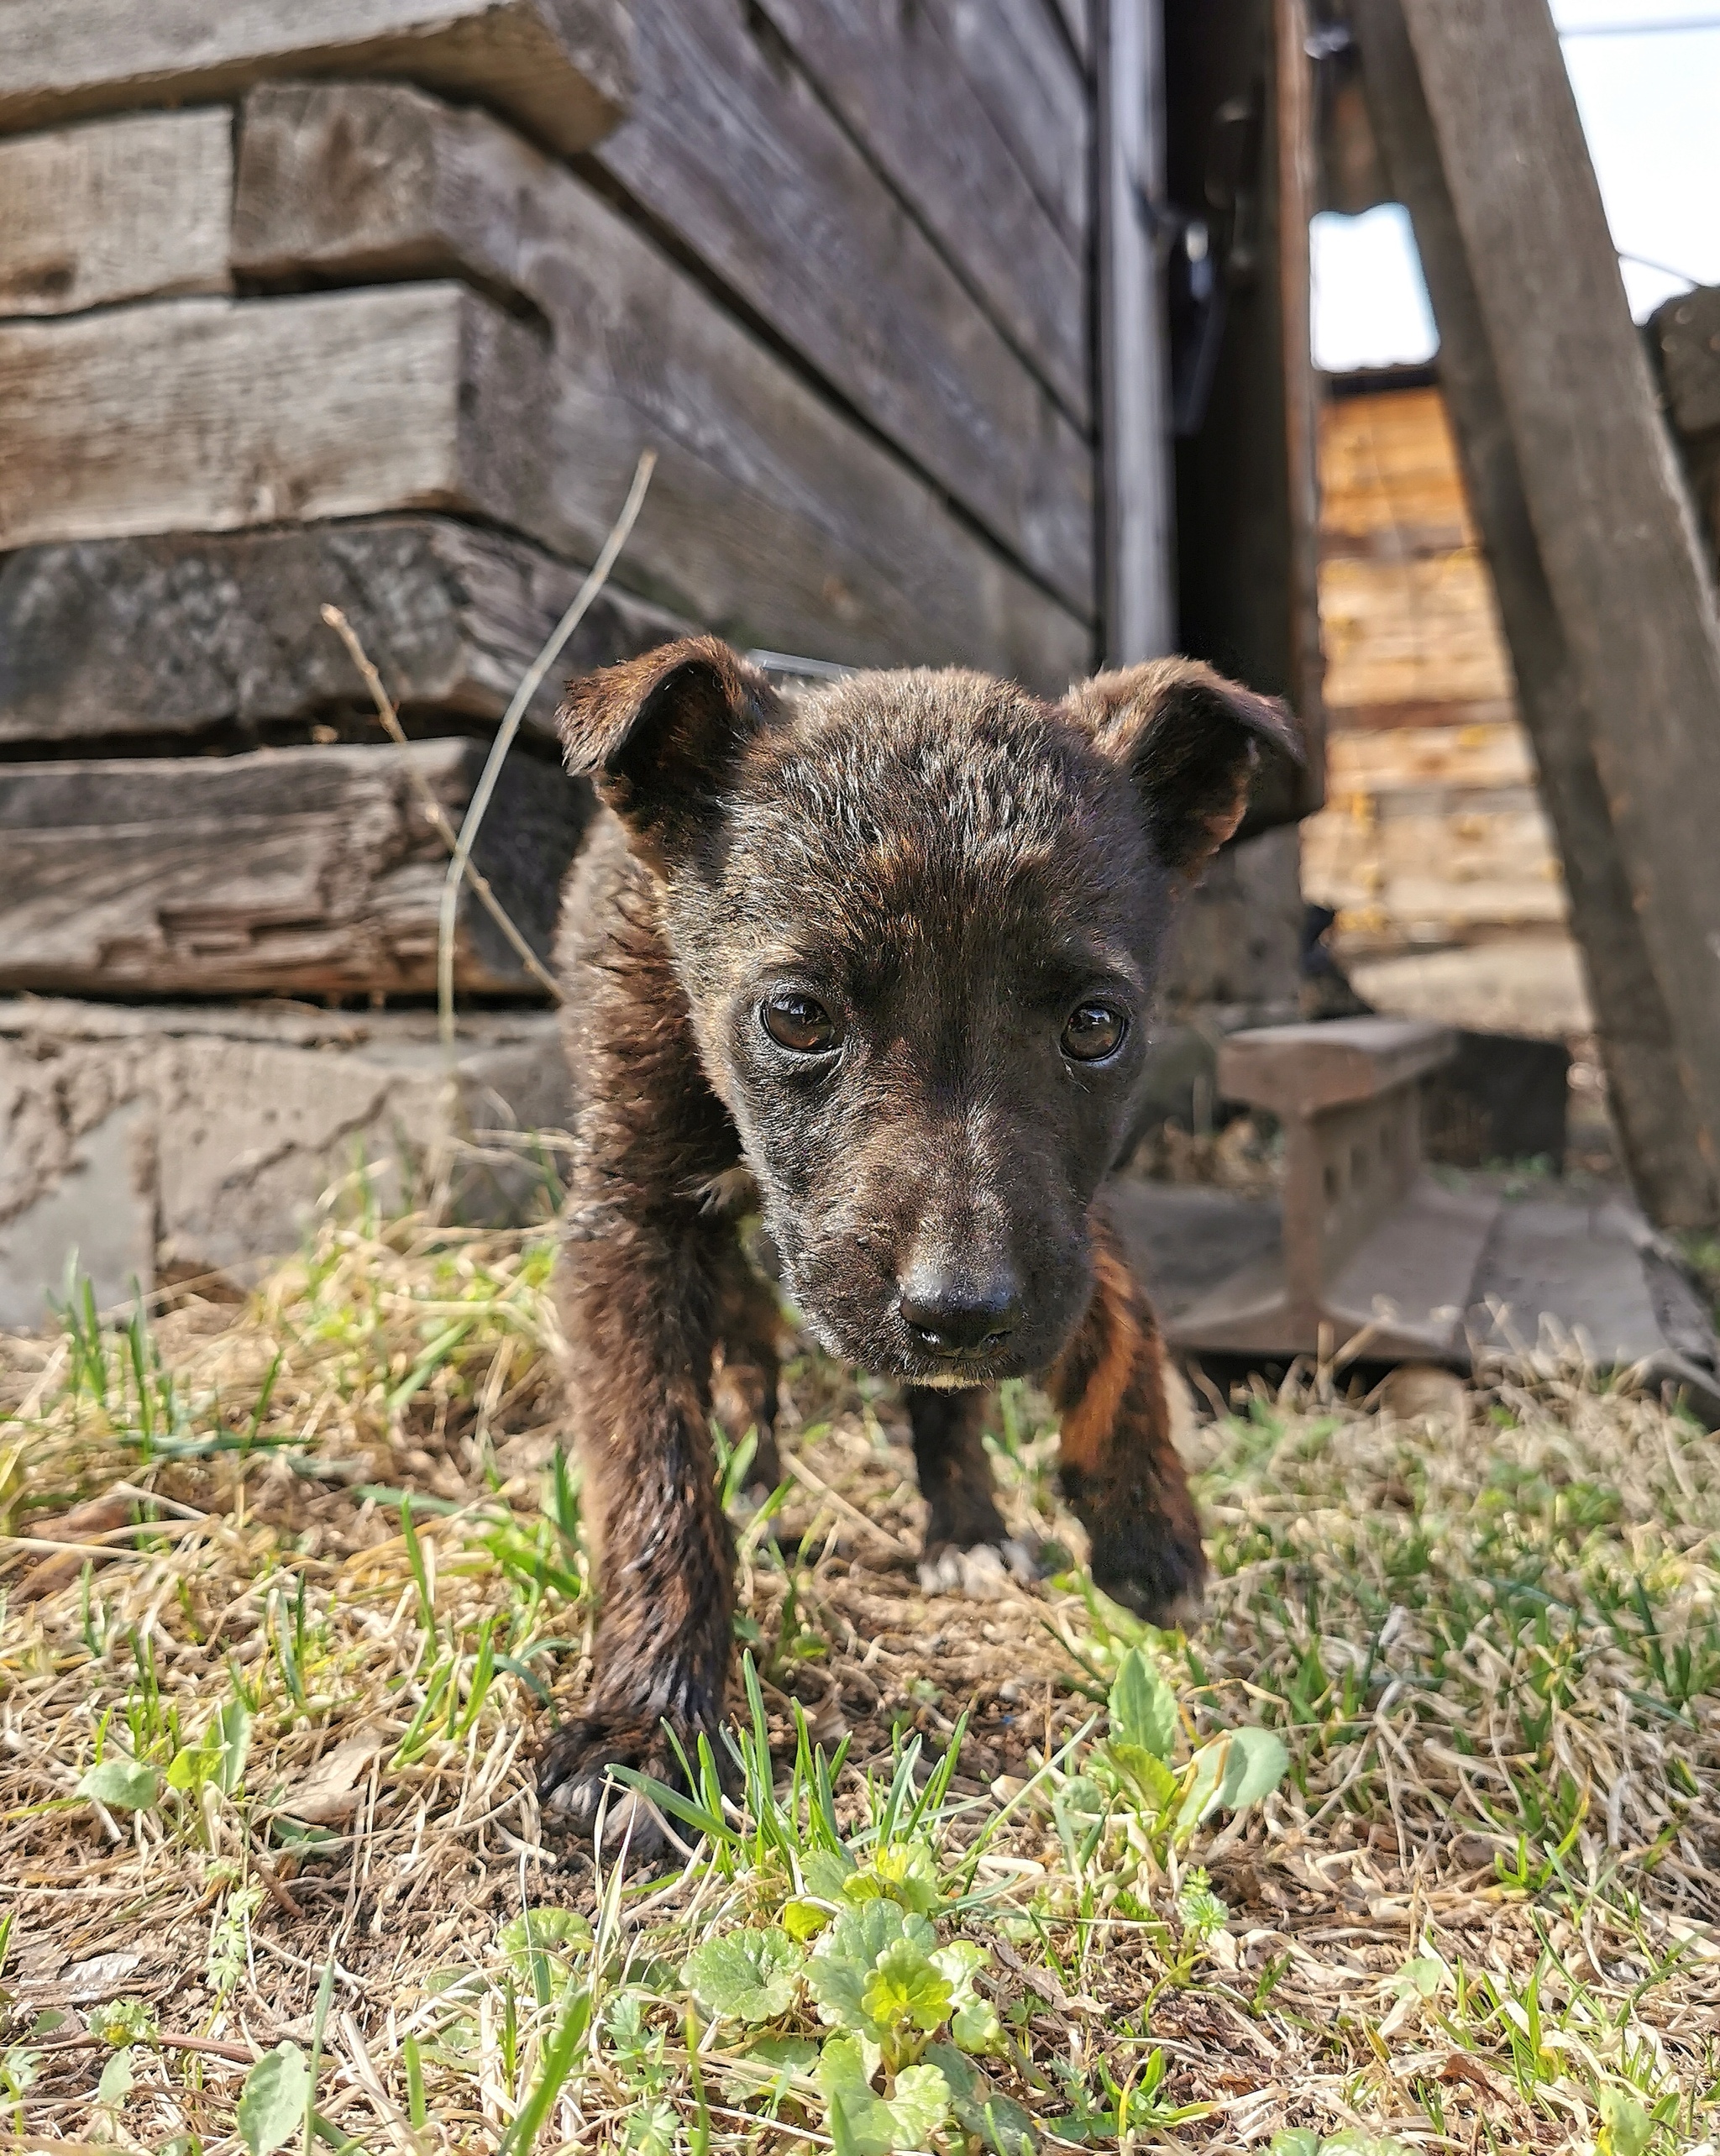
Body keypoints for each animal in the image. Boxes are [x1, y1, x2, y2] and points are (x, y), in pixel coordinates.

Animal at [538, 637, 1293, 1837]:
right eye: (796, 1015)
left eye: (1095, 1024)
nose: (962, 1313)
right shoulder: (629, 1216)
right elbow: (653, 1464)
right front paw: (647, 1720)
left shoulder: (1062, 1208)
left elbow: (1119, 1313)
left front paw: (1146, 1527)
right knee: (748, 1356)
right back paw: (758, 1477)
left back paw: (965, 1525)